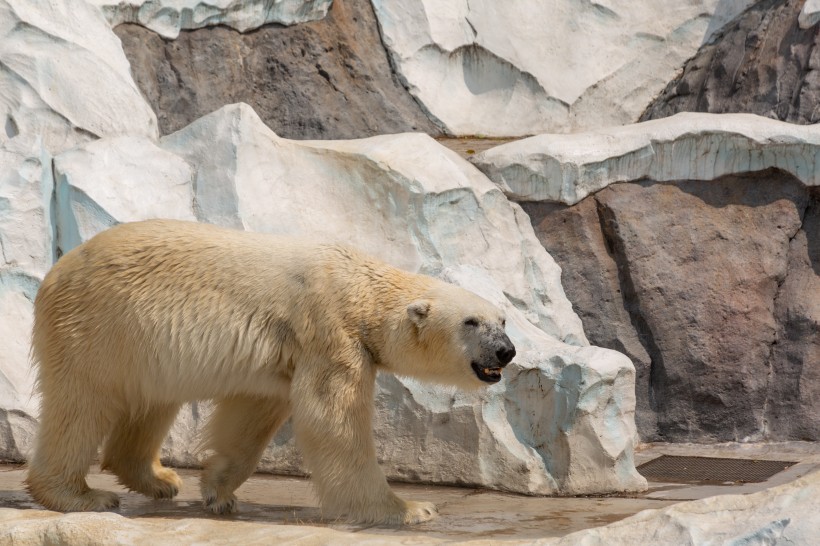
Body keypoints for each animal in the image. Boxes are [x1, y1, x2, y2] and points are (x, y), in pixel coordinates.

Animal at [25, 217, 512, 524]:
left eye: (503, 319)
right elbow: (332, 422)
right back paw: (81, 495)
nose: (506, 352)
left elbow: (254, 413)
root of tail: (56, 270)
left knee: (152, 401)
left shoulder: (286, 353)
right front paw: (409, 510)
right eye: (471, 322)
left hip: (143, 344)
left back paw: (160, 479)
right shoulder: (330, 333)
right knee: (81, 403)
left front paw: (218, 490)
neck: (361, 288)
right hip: (98, 325)